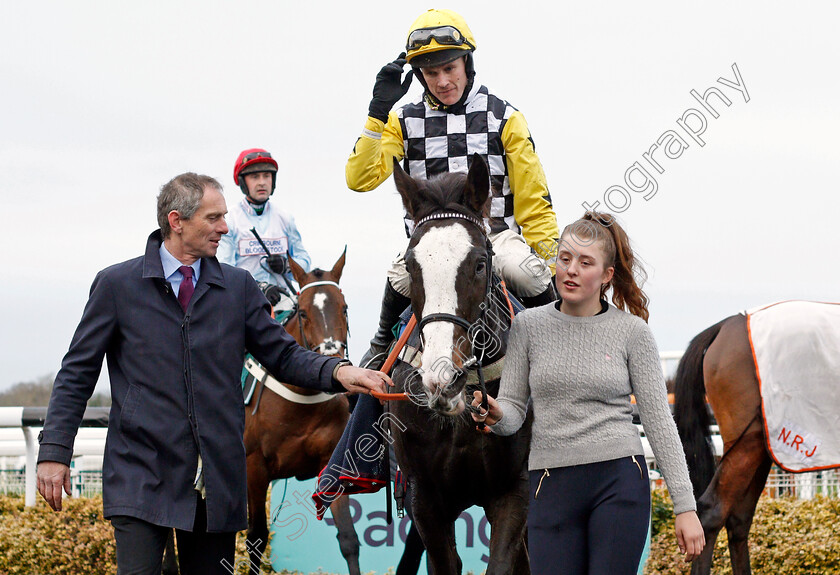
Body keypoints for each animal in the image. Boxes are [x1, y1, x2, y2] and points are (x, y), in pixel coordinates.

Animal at [243, 252, 360, 575]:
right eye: (304, 313)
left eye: (344, 308)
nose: (332, 357)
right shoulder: (254, 467)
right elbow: (256, 537)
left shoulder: (332, 462)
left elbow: (348, 538)